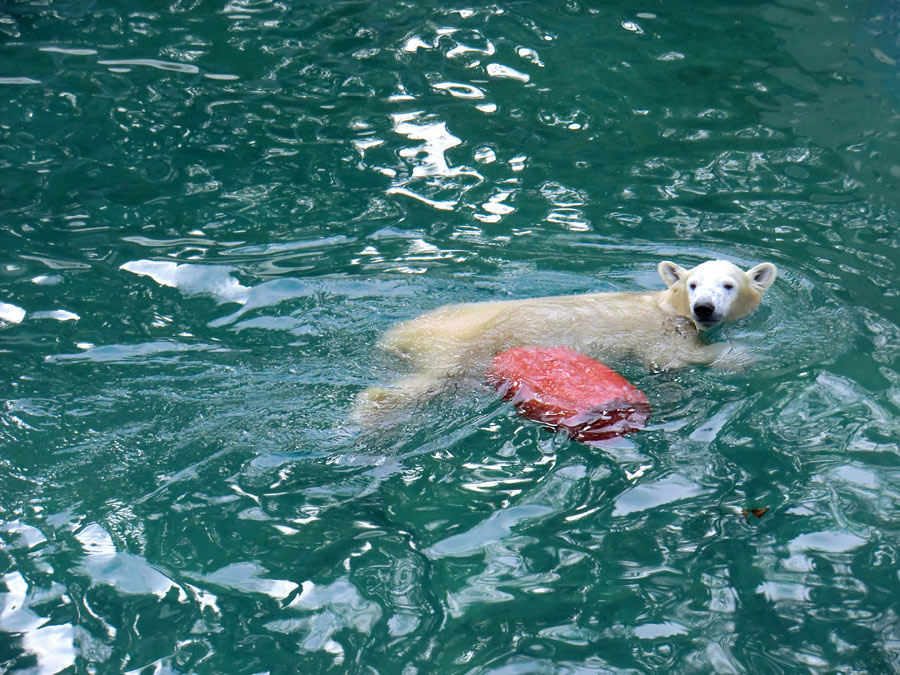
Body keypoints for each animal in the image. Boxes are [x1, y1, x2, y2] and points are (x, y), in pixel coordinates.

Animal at [356, 260, 776, 426]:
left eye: (728, 285)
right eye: (692, 284)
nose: (704, 307)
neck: (667, 307)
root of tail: (398, 333)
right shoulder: (660, 331)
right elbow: (677, 356)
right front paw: (744, 357)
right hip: (458, 344)